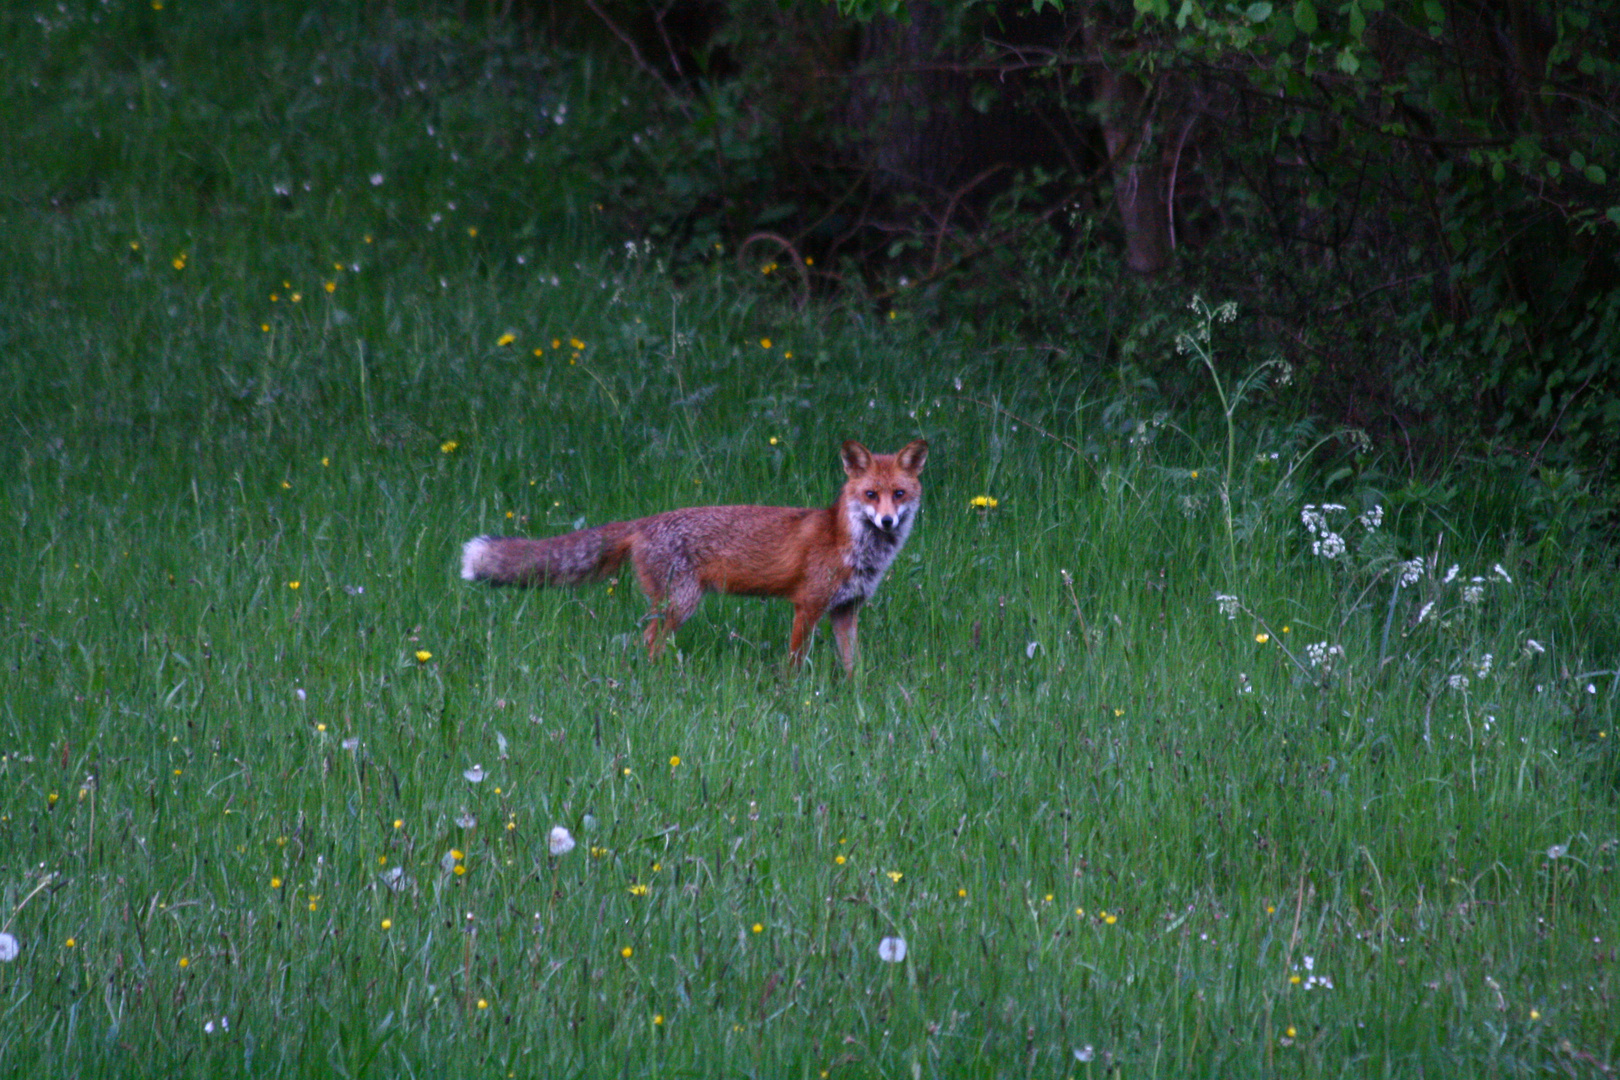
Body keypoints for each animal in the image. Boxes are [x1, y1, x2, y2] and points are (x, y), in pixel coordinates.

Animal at [463, 440, 933, 676]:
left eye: (899, 494)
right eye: (870, 494)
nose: (887, 521)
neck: (851, 545)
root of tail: (644, 521)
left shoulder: (845, 611)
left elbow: (854, 665)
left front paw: (855, 695)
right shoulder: (808, 606)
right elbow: (794, 664)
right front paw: (793, 698)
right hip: (681, 603)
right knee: (648, 641)